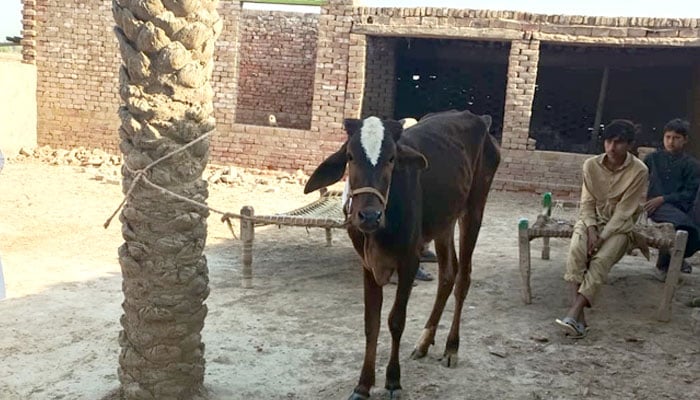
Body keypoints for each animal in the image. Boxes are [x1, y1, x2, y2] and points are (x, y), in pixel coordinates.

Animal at [304, 109, 500, 399]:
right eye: (350, 156)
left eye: (391, 158)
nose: (369, 216)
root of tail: (479, 118)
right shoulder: (368, 266)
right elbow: (371, 323)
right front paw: (363, 385)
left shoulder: (409, 261)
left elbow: (396, 320)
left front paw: (393, 381)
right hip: (444, 222)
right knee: (448, 274)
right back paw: (425, 341)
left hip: (474, 209)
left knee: (463, 278)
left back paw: (451, 347)